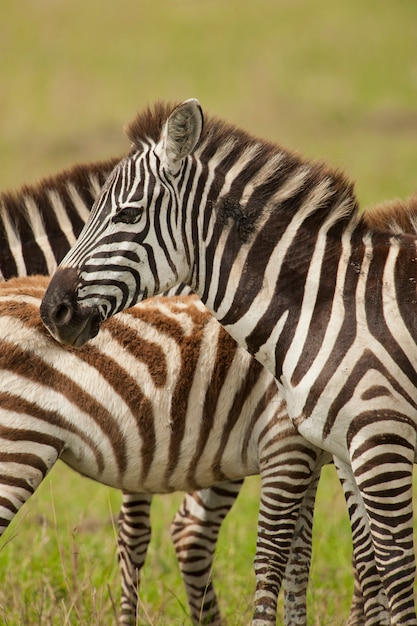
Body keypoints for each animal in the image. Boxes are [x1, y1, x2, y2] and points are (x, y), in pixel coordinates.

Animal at [39, 96, 417, 620]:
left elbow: (392, 571)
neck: (327, 305)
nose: (51, 310)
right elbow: (365, 563)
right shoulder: (344, 449)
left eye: (128, 214)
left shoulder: (379, 441)